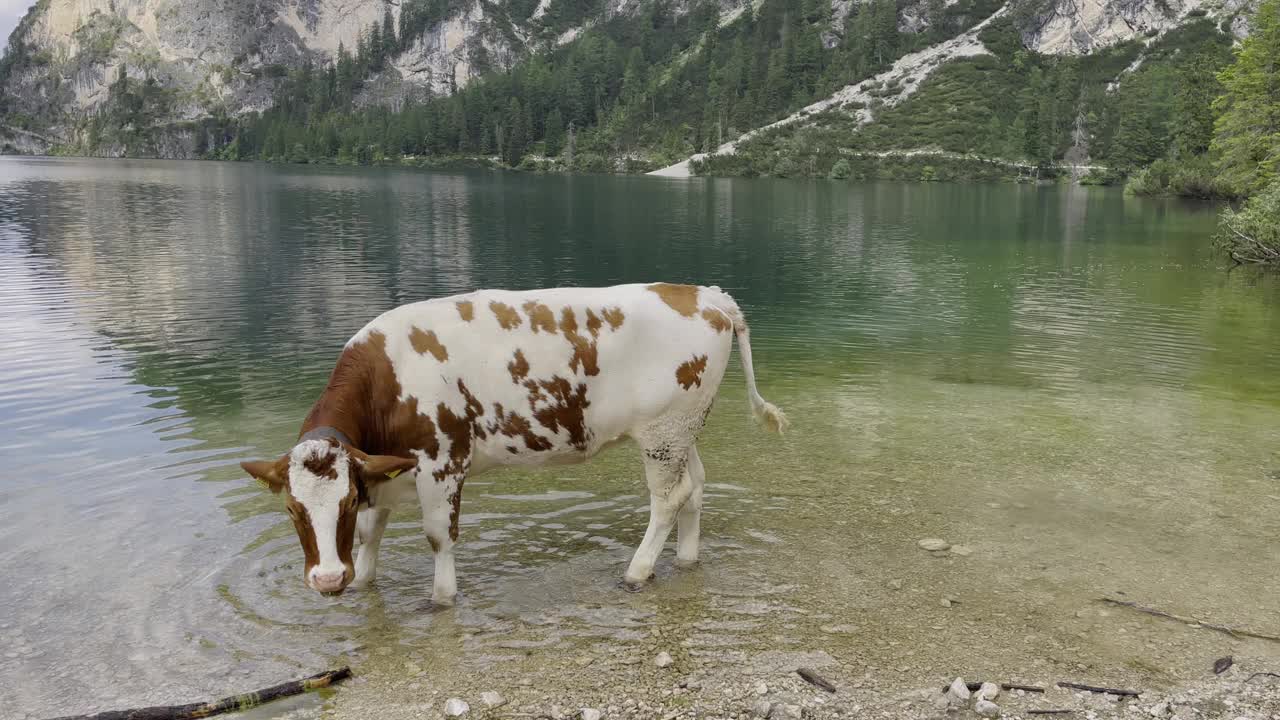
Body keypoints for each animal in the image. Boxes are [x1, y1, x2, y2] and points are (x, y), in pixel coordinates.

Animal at [235, 280, 783, 599]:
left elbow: (438, 537)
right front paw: (364, 584)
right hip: (681, 429)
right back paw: (686, 560)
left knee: (670, 498)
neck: (386, 379)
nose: (327, 579)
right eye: (292, 509)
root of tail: (703, 293)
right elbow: (371, 538)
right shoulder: (378, 469)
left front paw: (442, 600)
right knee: (696, 487)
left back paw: (638, 570)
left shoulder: (442, 464)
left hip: (661, 433)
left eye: (344, 502)